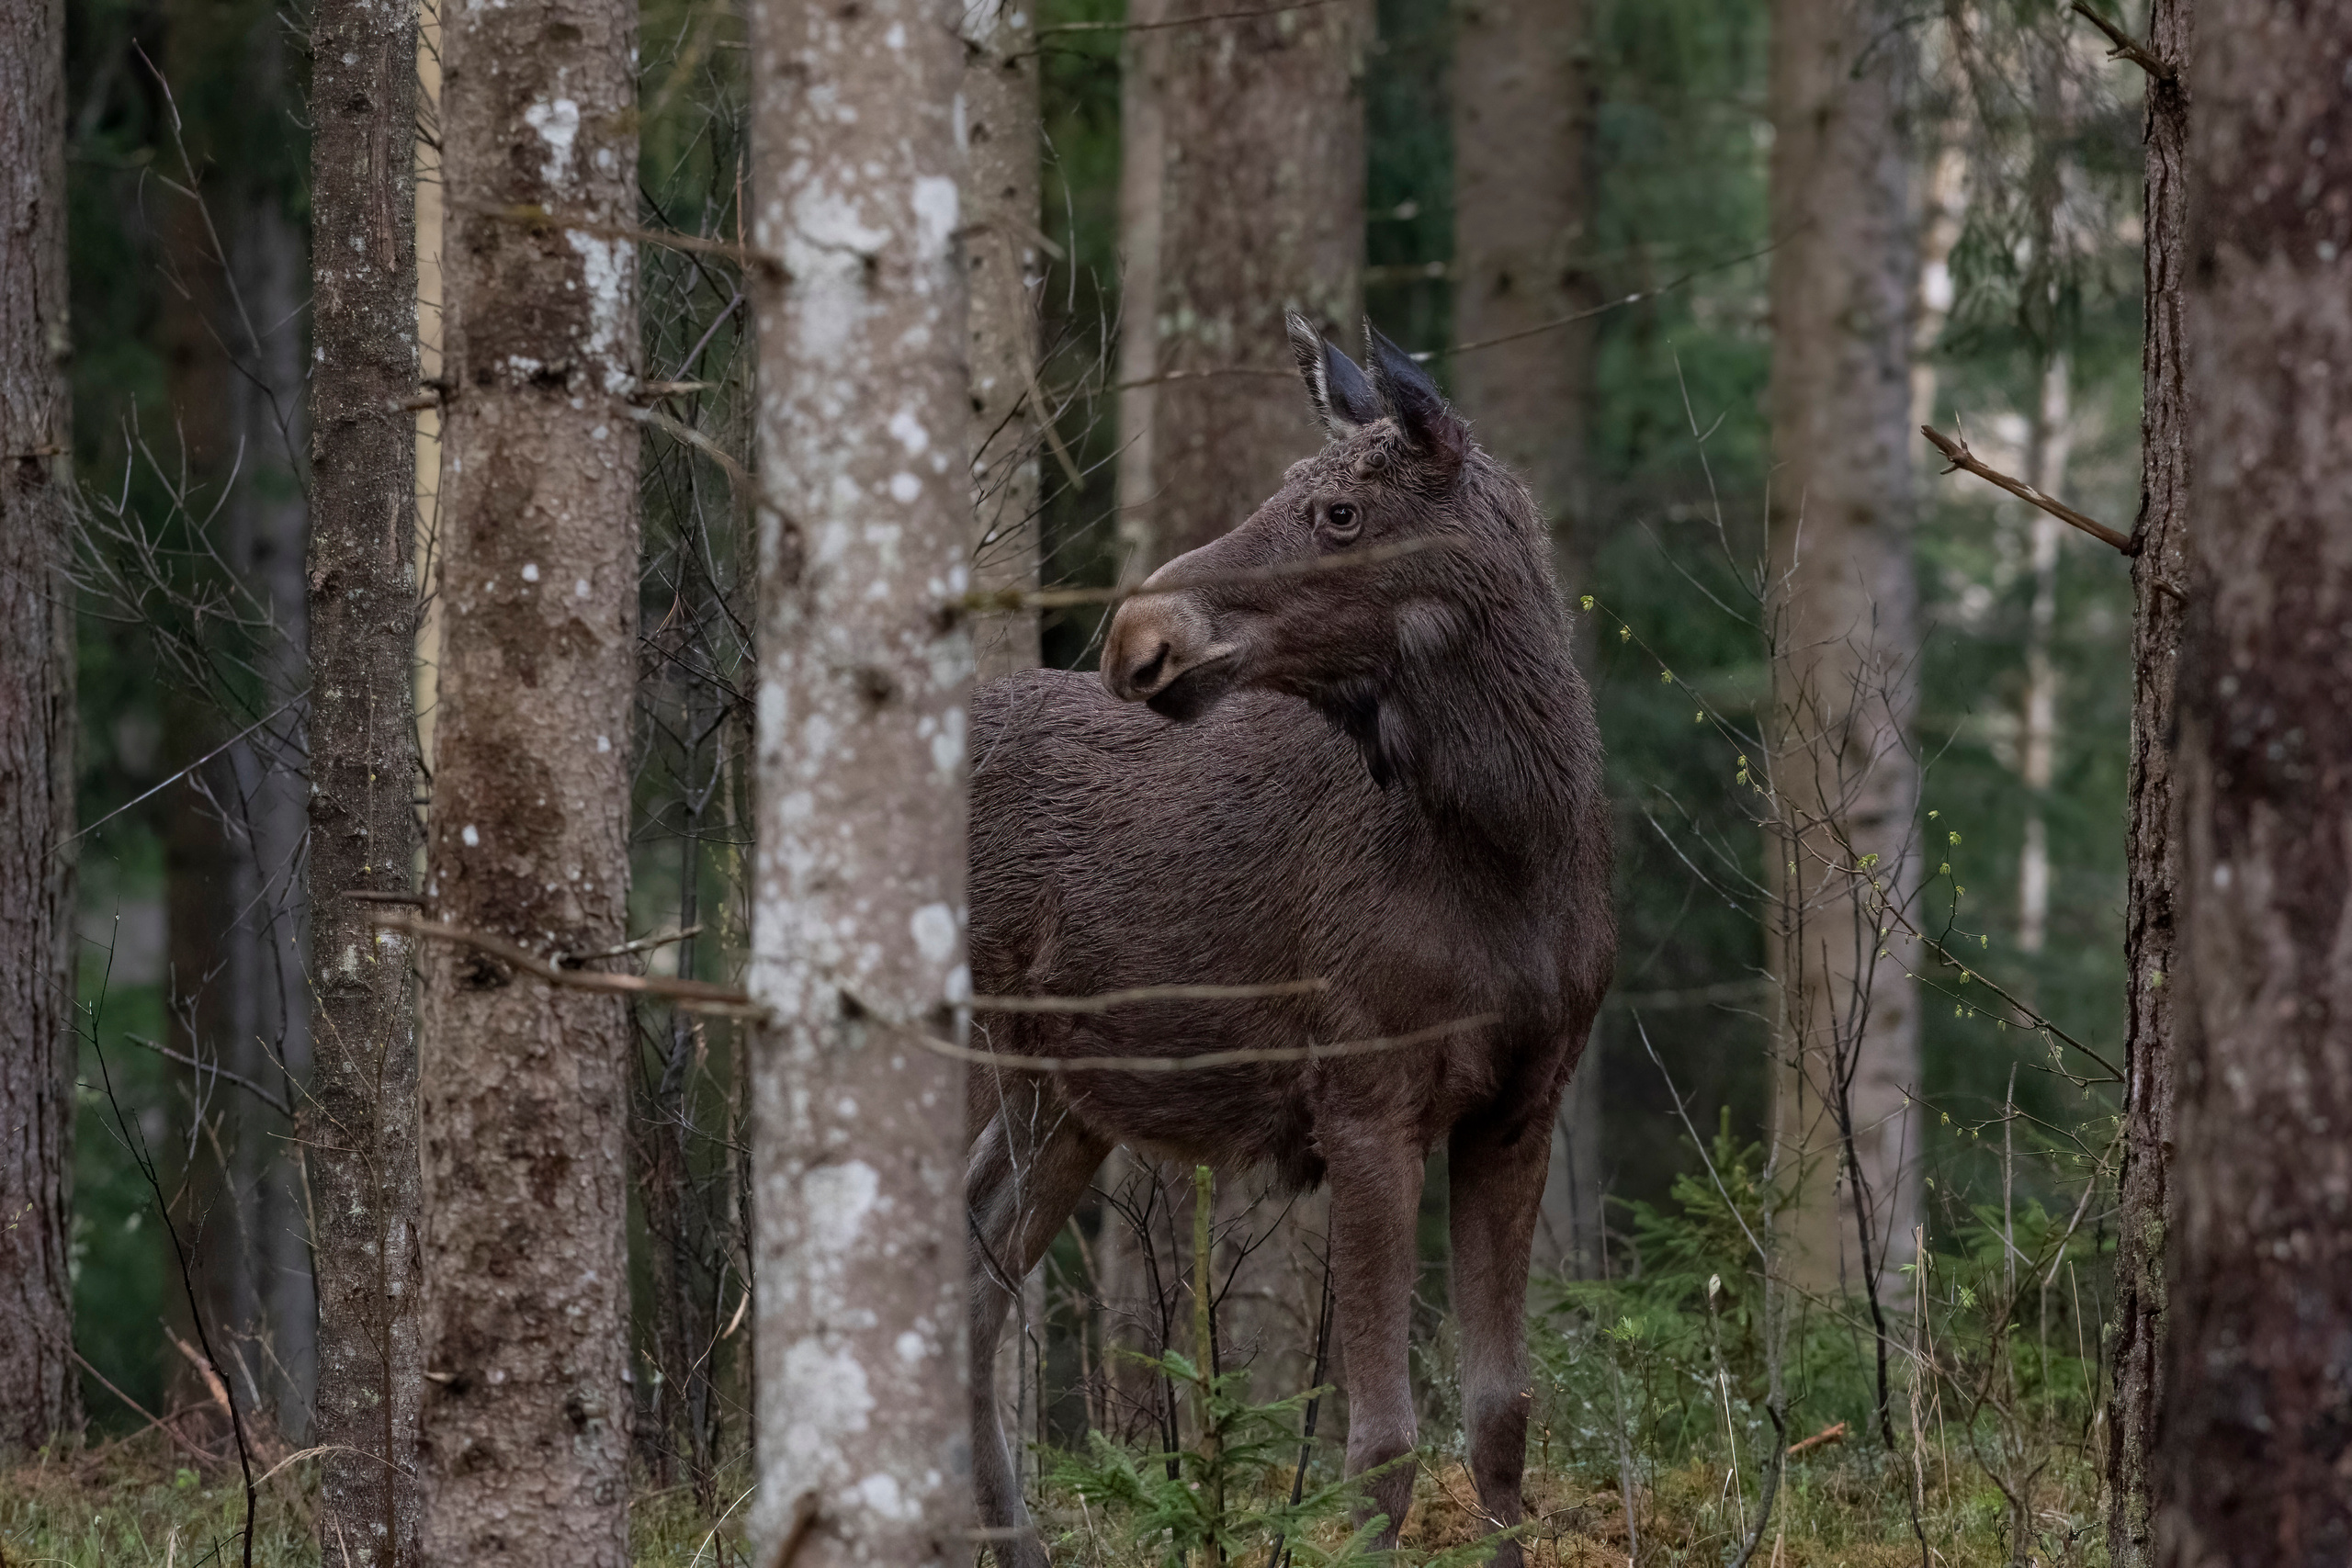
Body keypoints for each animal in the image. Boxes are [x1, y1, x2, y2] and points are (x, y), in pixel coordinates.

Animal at [964, 316, 1614, 1568]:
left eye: (1340, 513)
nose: (1135, 635)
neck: (1514, 852)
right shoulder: (1363, 1094)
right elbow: (1380, 1448)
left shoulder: (1525, 1099)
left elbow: (1500, 1414)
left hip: (1063, 1093)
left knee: (970, 1261)